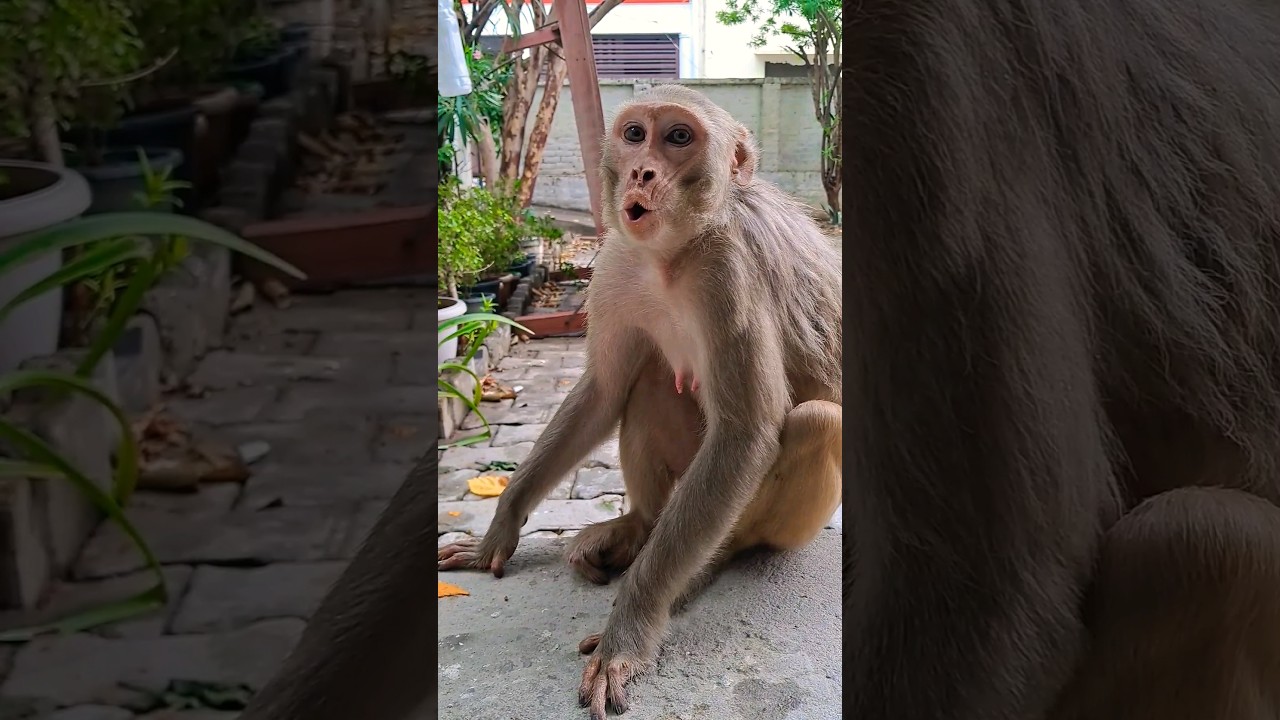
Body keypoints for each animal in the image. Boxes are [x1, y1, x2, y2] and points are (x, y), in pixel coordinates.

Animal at [437, 84, 843, 719]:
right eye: (635, 135)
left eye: (678, 137)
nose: (643, 171)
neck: (673, 257)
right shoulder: (616, 263)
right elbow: (604, 389)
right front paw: (497, 533)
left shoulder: (729, 272)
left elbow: (745, 433)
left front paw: (630, 628)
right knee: (648, 378)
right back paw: (636, 529)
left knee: (818, 423)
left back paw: (710, 561)